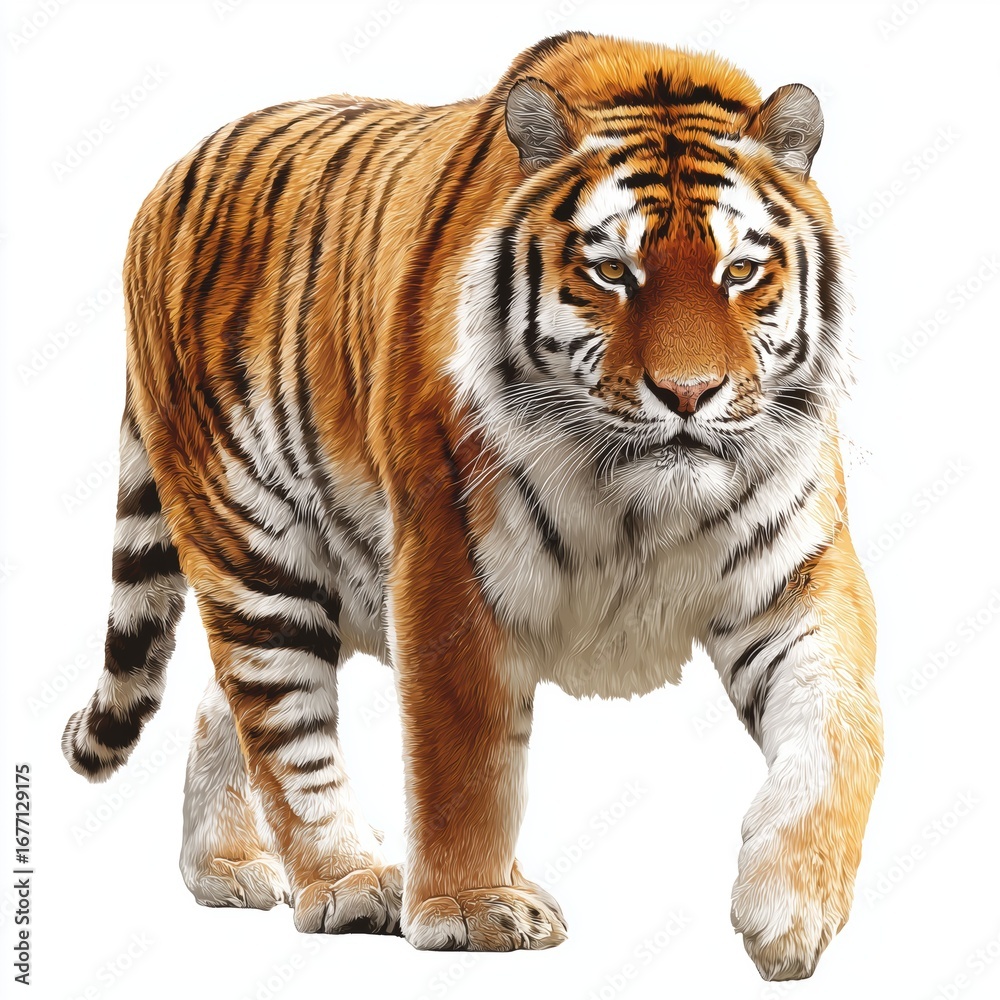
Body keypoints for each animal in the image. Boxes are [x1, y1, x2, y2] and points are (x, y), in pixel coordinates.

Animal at [61, 30, 882, 981]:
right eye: (611, 272)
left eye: (741, 271)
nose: (689, 393)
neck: (639, 503)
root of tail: (166, 180)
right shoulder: (449, 567)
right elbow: (462, 759)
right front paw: (472, 909)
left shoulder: (798, 575)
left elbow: (841, 728)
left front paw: (790, 911)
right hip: (251, 548)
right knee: (279, 724)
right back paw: (349, 882)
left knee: (219, 704)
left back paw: (224, 868)